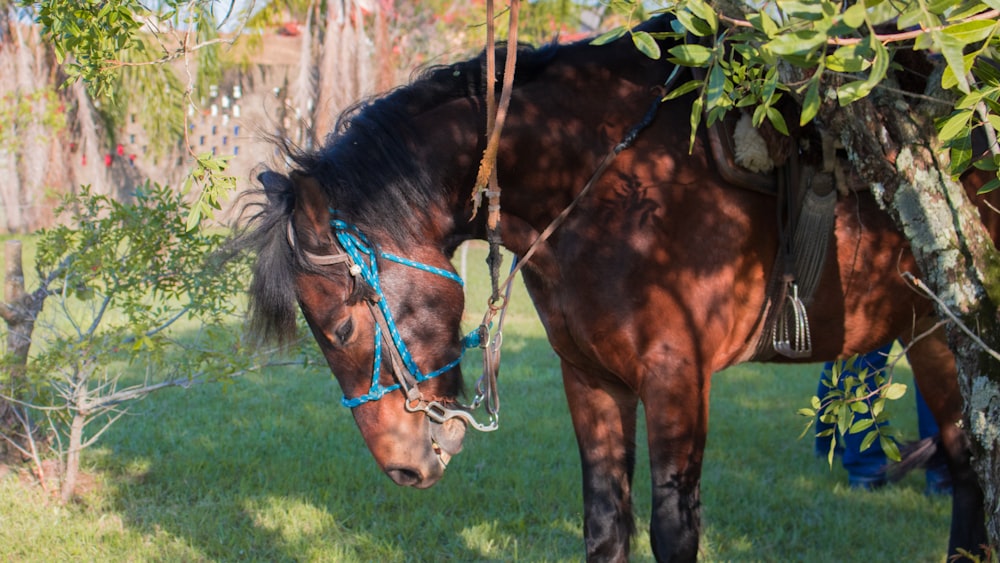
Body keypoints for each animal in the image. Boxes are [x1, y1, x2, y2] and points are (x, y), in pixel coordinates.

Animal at [238, 16, 996, 563]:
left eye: (340, 328)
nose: (402, 468)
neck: (604, 177)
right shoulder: (591, 378)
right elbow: (605, 524)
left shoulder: (676, 375)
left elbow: (674, 530)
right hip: (932, 332)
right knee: (965, 464)